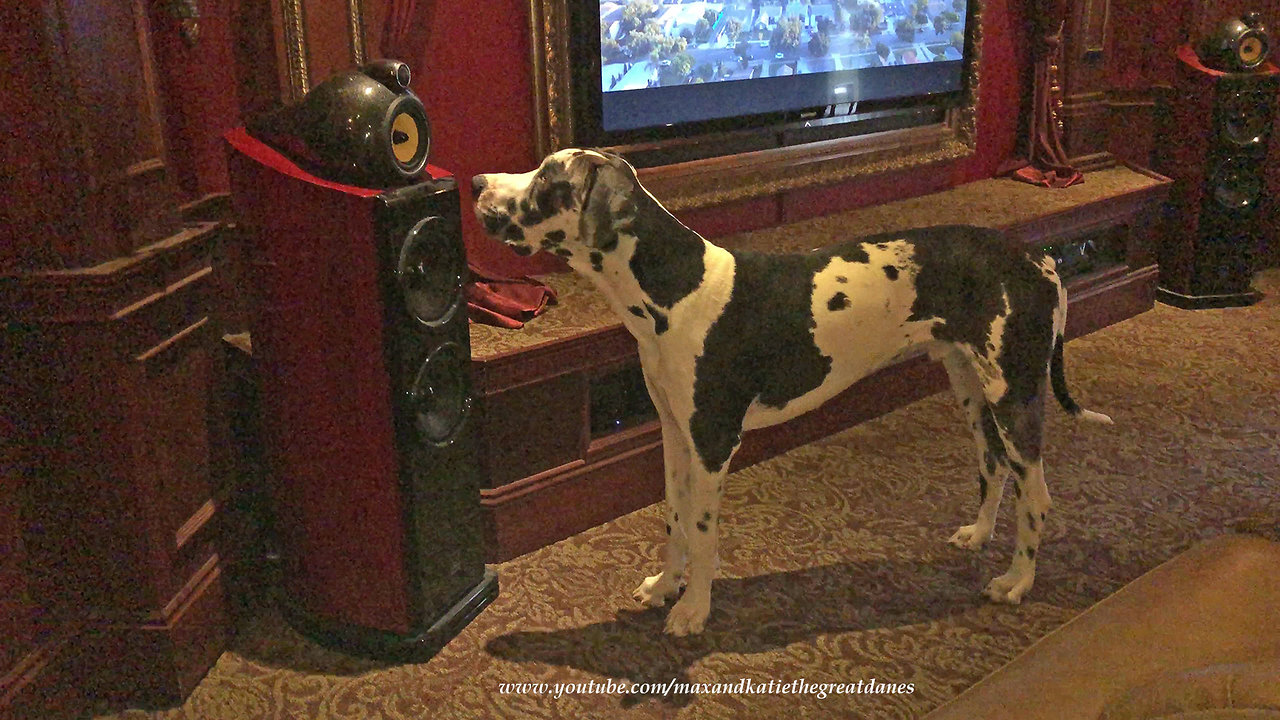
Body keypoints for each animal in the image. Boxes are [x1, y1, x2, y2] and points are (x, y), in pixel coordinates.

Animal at [471, 147, 1111, 632]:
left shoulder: (713, 445)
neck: (676, 290)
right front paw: (664, 586)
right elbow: (674, 519)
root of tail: (1040, 258)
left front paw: (694, 610)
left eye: (546, 180)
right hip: (971, 389)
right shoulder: (675, 436)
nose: (475, 181)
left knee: (1037, 496)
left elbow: (702, 532)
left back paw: (1017, 581)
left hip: (1014, 396)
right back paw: (978, 535)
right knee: (994, 467)